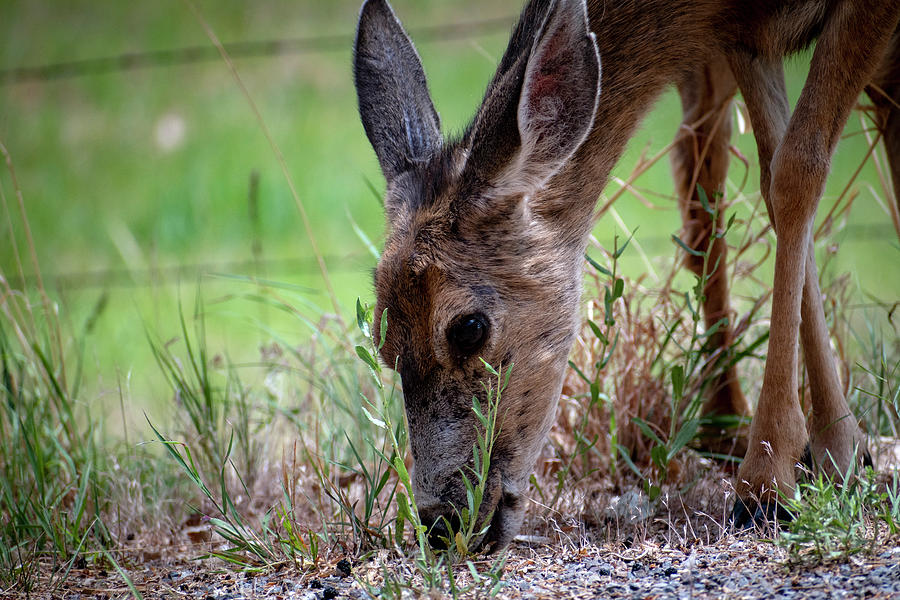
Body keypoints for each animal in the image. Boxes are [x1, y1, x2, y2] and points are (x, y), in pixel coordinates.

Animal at [354, 0, 900, 552]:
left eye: (468, 328)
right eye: (381, 341)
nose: (441, 522)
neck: (701, 12)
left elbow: (795, 172)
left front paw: (768, 485)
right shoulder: (747, 33)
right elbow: (773, 173)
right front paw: (836, 453)